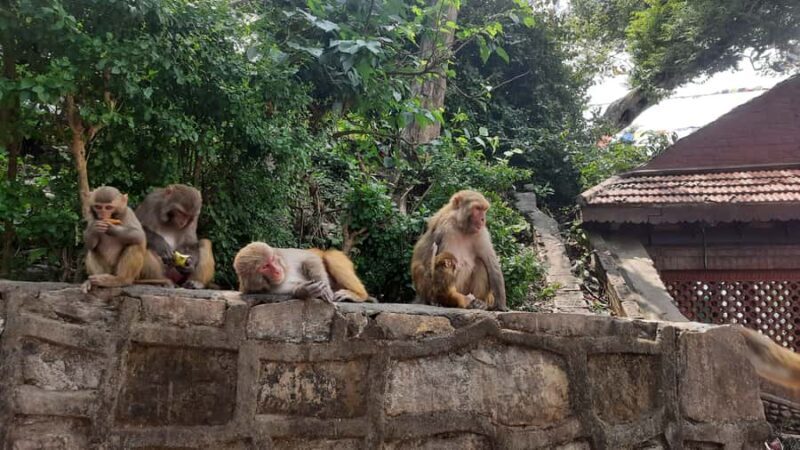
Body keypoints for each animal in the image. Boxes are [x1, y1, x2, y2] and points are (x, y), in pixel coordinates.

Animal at [233, 242, 371, 302]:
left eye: (273, 260)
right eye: (265, 266)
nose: (277, 270)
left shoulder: (285, 255)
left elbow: (310, 258)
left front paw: (325, 287)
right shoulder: (256, 289)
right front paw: (305, 291)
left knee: (330, 257)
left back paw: (360, 295)